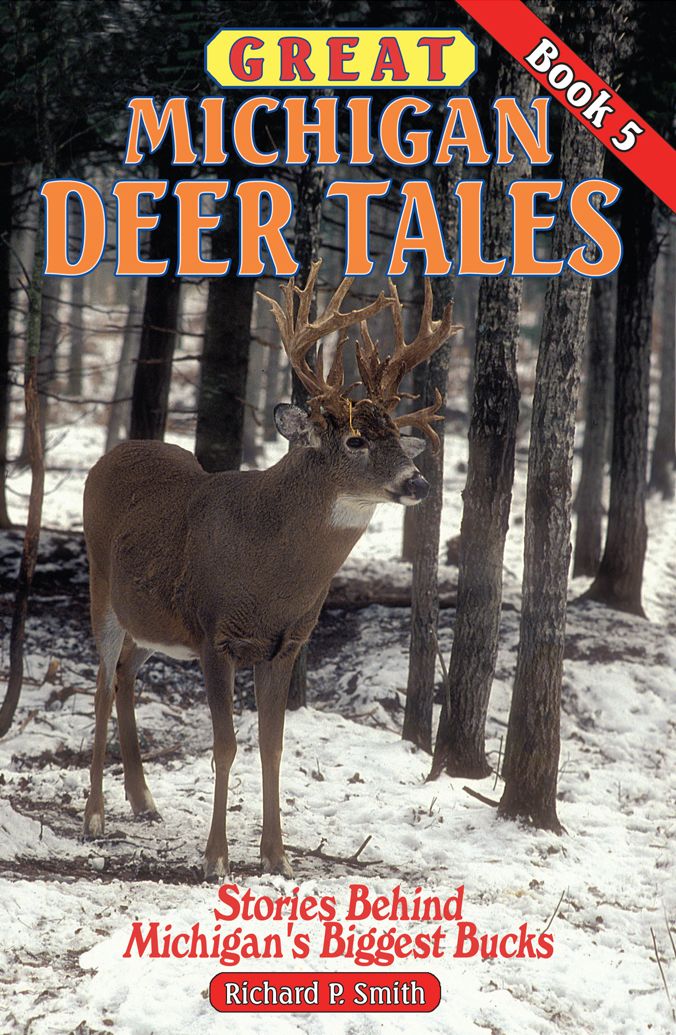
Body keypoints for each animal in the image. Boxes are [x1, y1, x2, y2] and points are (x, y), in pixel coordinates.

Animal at [82, 260, 460, 880]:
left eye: (396, 437)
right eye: (355, 438)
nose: (419, 482)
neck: (271, 574)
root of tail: (112, 453)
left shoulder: (285, 643)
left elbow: (273, 745)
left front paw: (277, 858)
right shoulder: (216, 635)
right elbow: (225, 745)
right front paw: (216, 859)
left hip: (153, 619)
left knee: (125, 673)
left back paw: (143, 801)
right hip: (101, 586)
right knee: (101, 682)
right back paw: (94, 816)